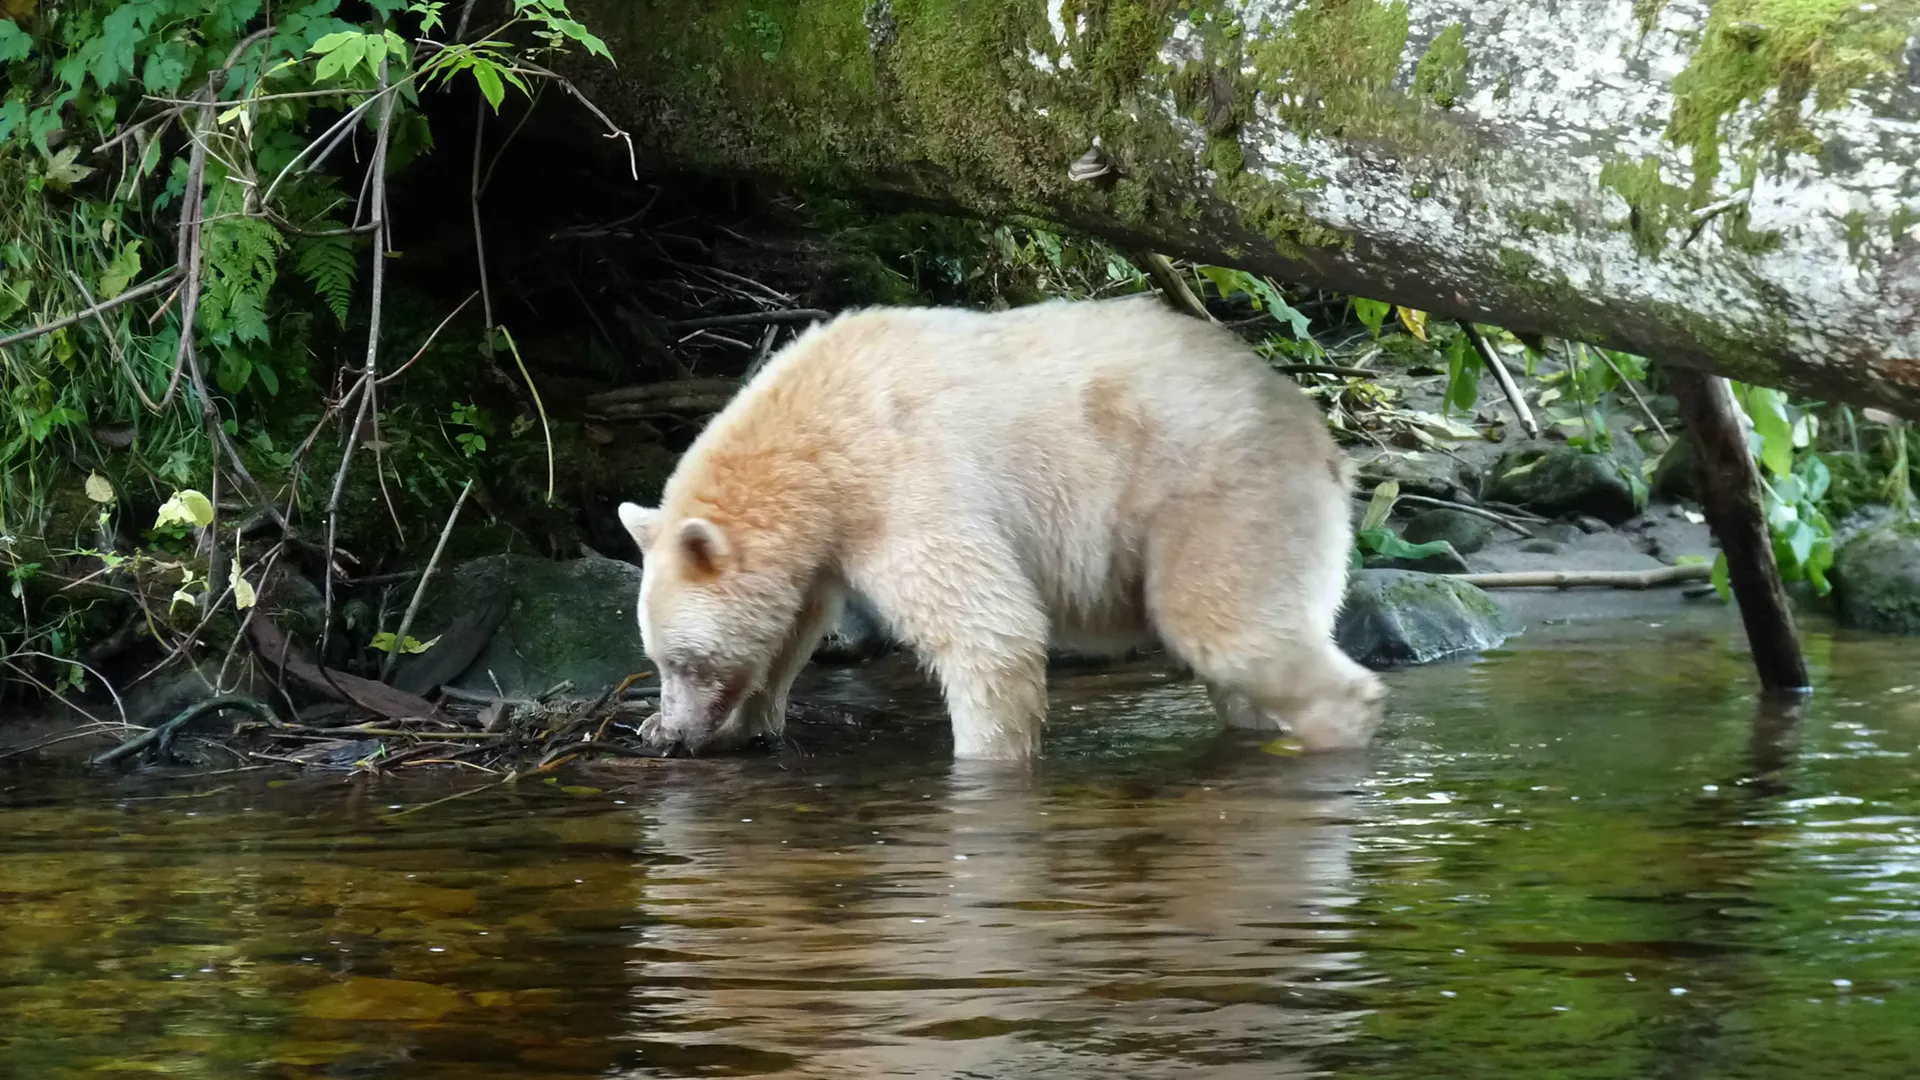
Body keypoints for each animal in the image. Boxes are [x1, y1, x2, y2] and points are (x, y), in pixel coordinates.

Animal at [616, 294, 1384, 761]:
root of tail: (1323, 439)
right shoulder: (826, 541)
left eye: (685, 661)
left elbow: (988, 628)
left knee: (1224, 627)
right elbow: (796, 621)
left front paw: (984, 757)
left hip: (1220, 499)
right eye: (657, 659)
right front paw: (737, 721)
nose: (670, 732)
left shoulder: (905, 483)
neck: (815, 438)